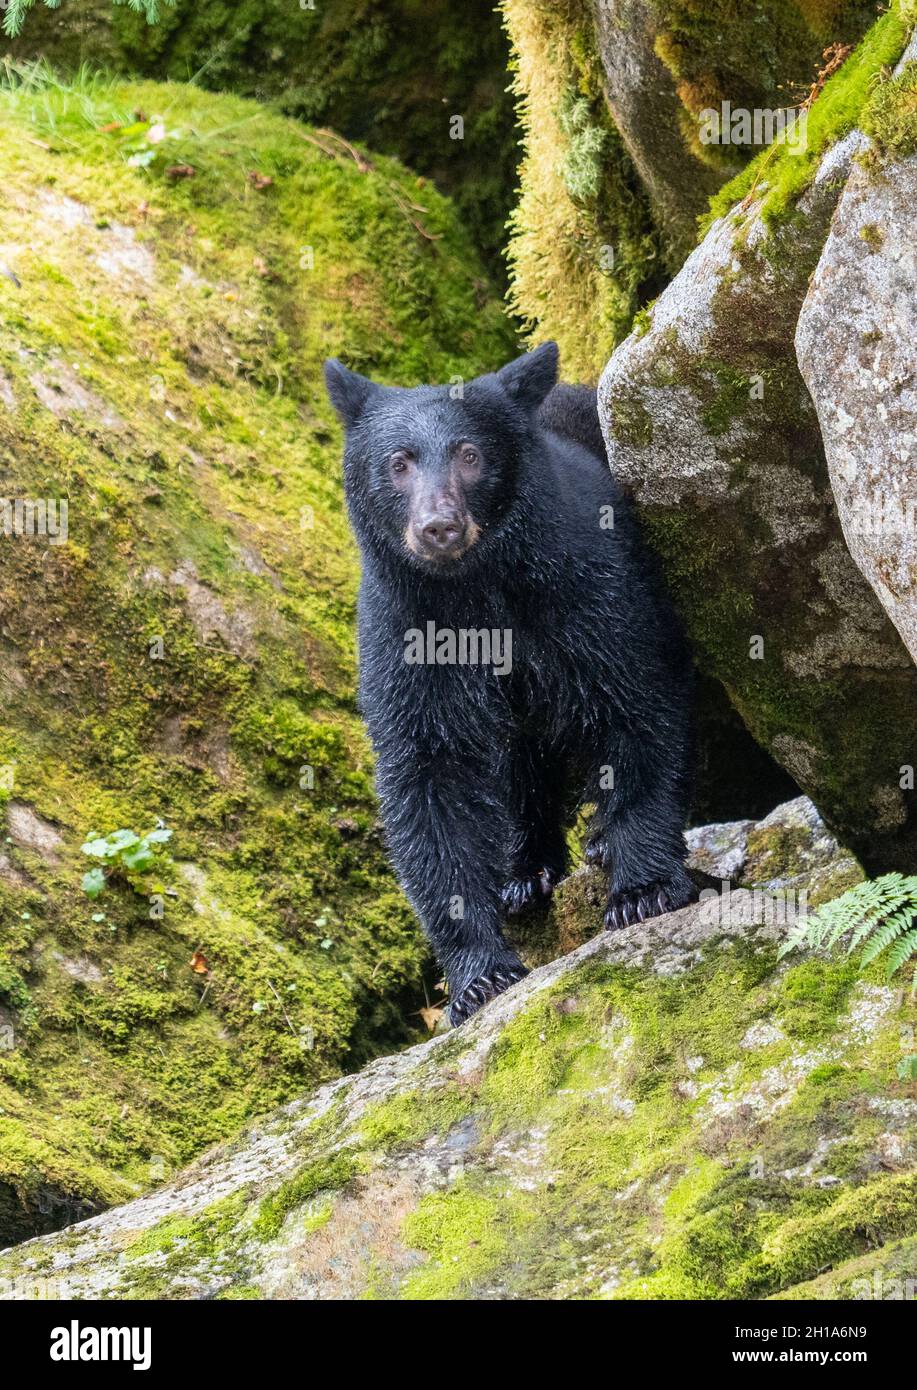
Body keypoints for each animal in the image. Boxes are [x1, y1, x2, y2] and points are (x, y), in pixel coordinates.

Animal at [326, 343, 691, 1028]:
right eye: (398, 462)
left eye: (470, 454)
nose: (439, 527)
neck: (478, 590)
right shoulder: (407, 630)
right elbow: (430, 776)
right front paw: (479, 976)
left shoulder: (586, 590)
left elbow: (634, 700)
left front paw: (645, 889)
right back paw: (525, 871)